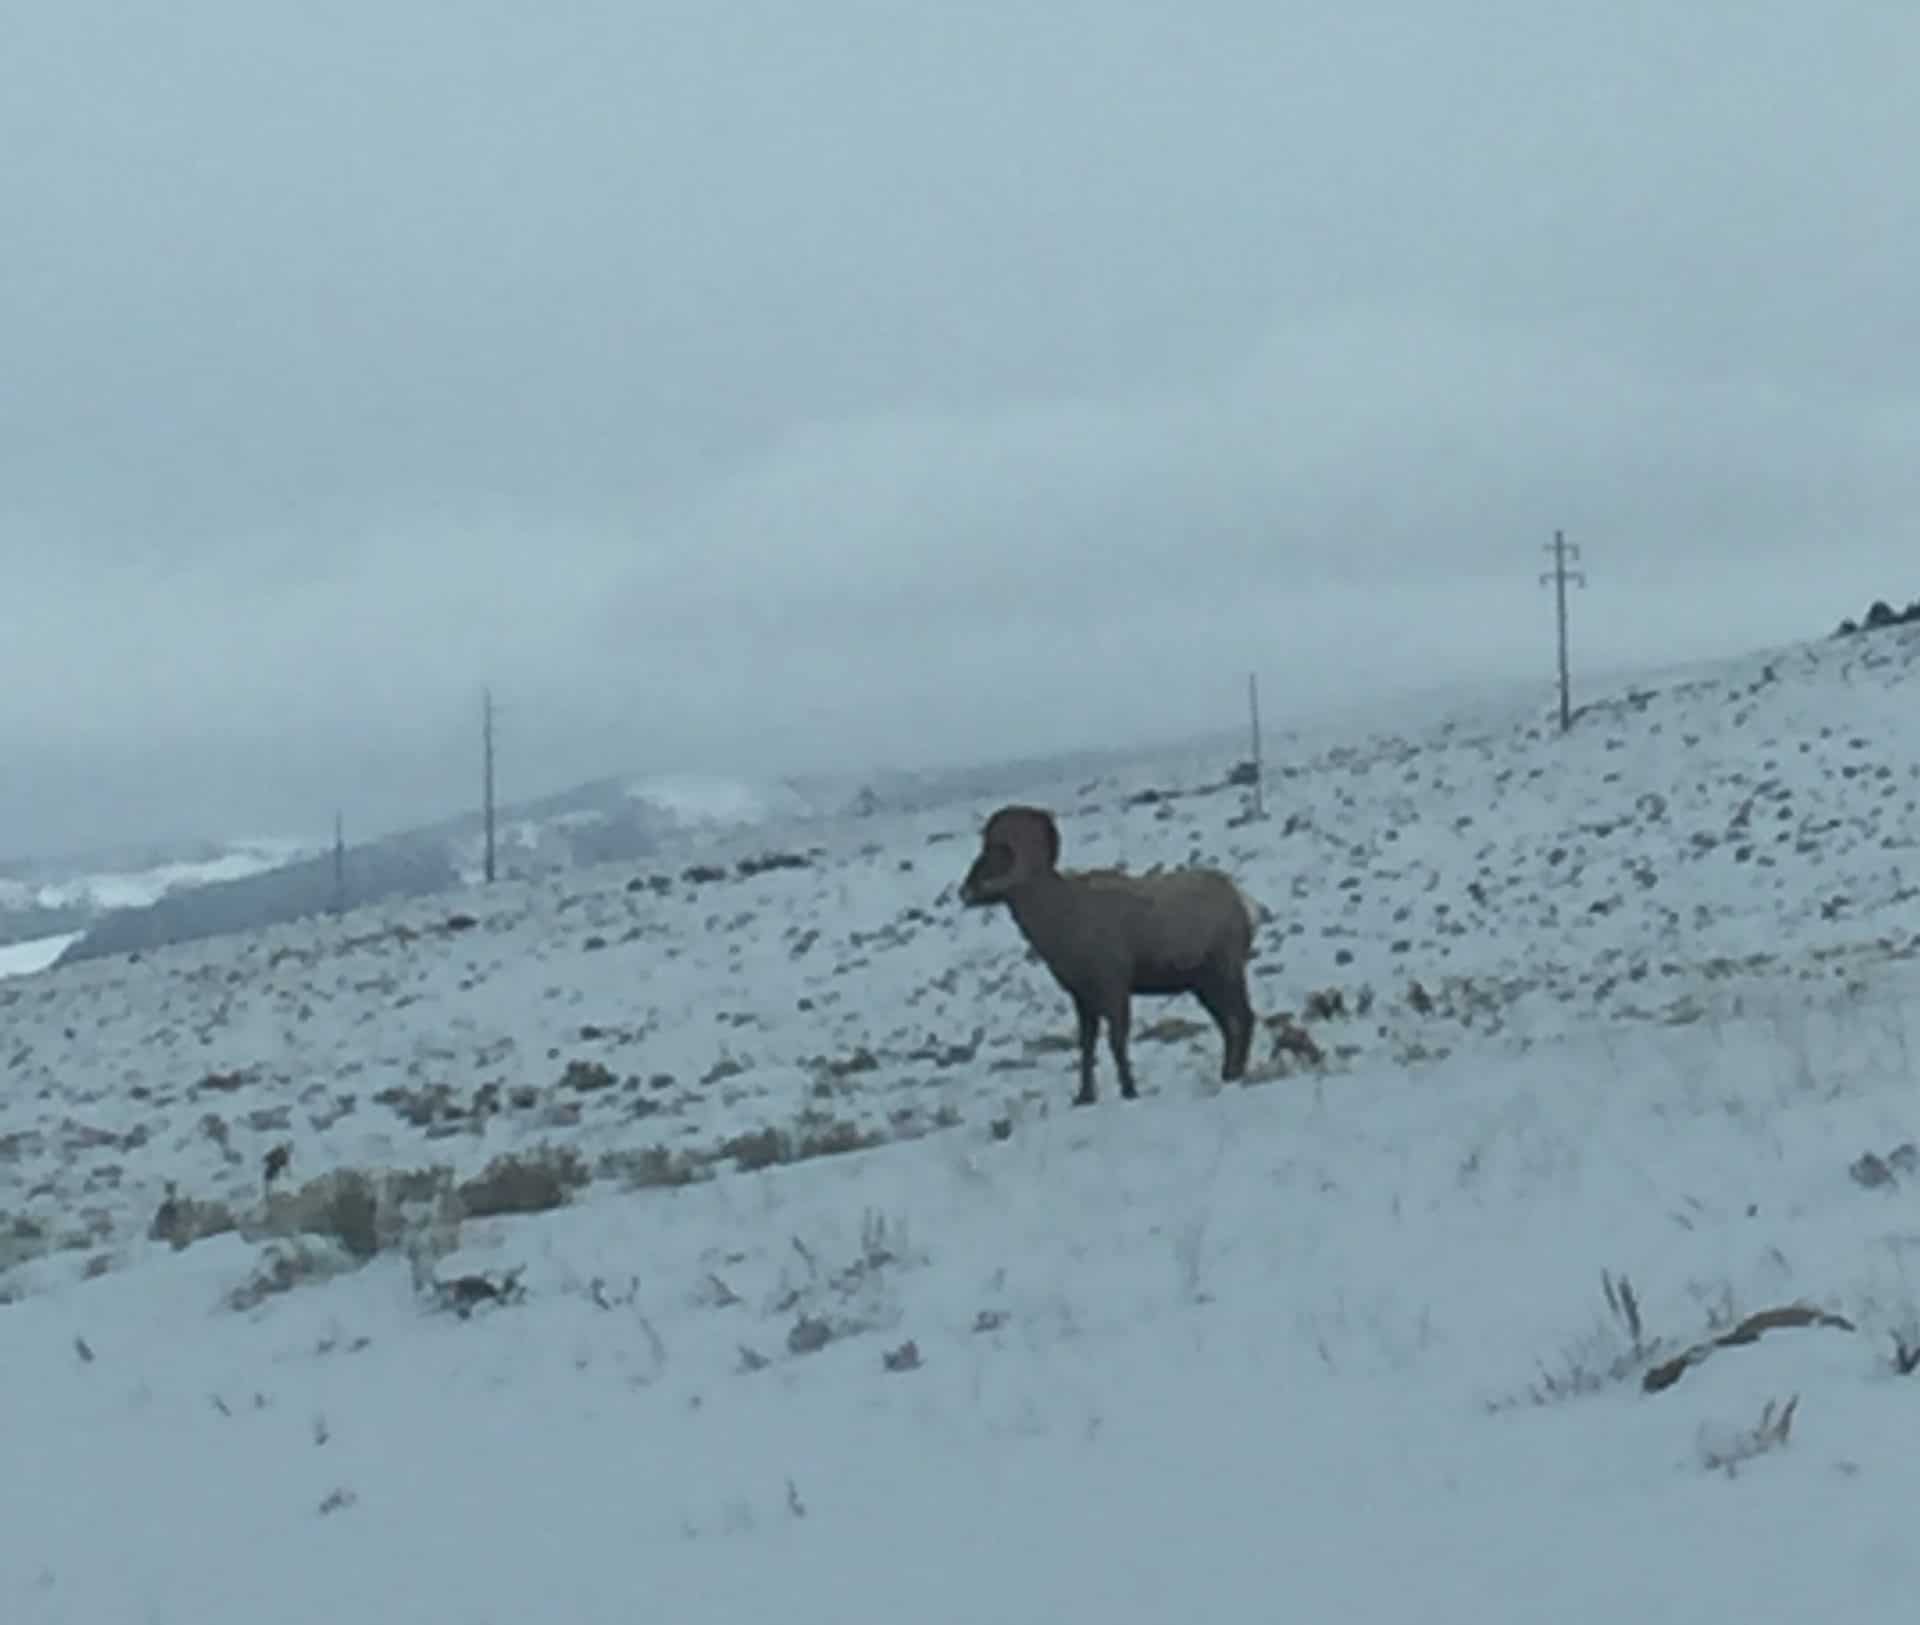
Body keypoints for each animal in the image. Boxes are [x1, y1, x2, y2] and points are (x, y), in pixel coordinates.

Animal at [957, 803, 1259, 1106]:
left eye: (999, 853)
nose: (965, 892)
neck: (1063, 914)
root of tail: (1238, 900)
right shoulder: (1083, 1000)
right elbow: (1087, 1046)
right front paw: (1084, 1097)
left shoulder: (1113, 992)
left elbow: (1116, 1041)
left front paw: (1129, 1091)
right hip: (1204, 987)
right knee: (1229, 1025)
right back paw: (1228, 1074)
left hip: (1224, 976)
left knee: (1243, 1019)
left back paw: (1234, 1075)